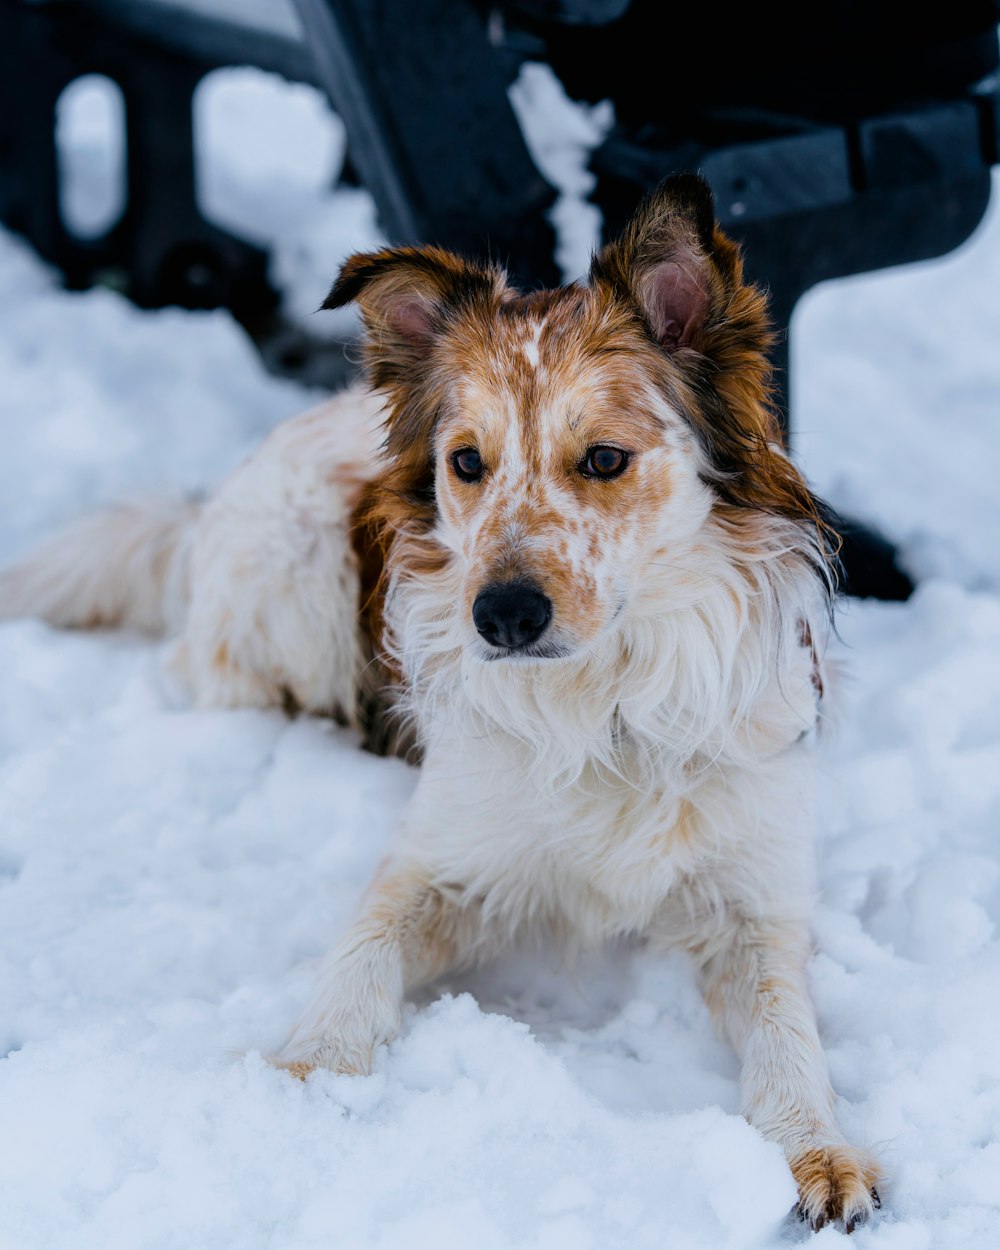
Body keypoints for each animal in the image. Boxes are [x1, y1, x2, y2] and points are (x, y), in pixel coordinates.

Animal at [0, 173, 880, 1230]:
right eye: (467, 462)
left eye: (605, 459)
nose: (499, 616)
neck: (605, 702)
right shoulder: (436, 861)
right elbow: (360, 953)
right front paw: (306, 1072)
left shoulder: (759, 898)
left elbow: (788, 1029)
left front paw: (816, 1145)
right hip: (293, 573)